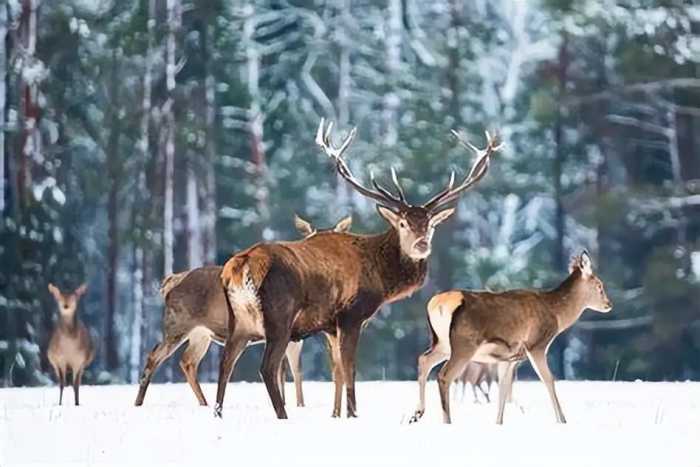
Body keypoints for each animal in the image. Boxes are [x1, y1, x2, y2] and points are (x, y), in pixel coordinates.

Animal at [134, 216, 352, 410]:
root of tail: (168, 283)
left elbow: (292, 370)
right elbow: (292, 370)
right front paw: (296, 405)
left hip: (201, 333)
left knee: (187, 361)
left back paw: (204, 403)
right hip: (177, 324)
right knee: (155, 355)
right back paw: (139, 402)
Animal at [215, 119, 504, 420]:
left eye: (430, 225)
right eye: (403, 223)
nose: (422, 244)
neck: (379, 279)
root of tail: (240, 266)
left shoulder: (329, 327)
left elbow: (337, 373)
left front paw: (336, 414)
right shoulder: (351, 315)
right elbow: (350, 369)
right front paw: (353, 414)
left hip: (239, 320)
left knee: (225, 362)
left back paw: (218, 413)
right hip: (278, 316)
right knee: (267, 368)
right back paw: (282, 416)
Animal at [410, 250, 612, 426]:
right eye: (599, 286)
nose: (609, 304)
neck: (556, 315)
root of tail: (437, 304)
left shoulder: (509, 358)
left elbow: (503, 389)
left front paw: (498, 422)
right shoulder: (536, 345)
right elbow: (548, 380)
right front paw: (562, 420)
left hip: (442, 344)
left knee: (423, 360)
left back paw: (417, 413)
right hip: (464, 345)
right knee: (444, 375)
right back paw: (446, 420)